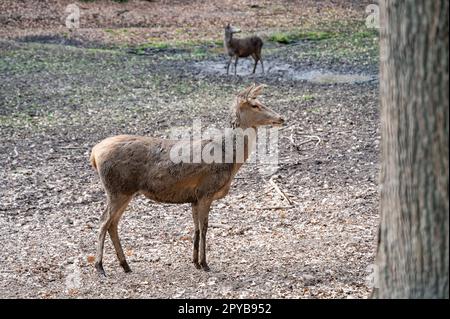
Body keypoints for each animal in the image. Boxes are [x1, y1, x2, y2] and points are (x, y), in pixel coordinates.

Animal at [89, 85, 284, 278]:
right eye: (255, 105)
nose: (281, 118)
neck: (229, 159)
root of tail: (94, 153)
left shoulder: (194, 197)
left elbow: (196, 227)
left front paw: (195, 262)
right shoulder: (206, 191)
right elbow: (205, 227)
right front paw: (205, 263)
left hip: (124, 191)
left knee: (113, 223)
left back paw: (125, 265)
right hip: (117, 189)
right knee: (104, 221)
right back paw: (100, 266)